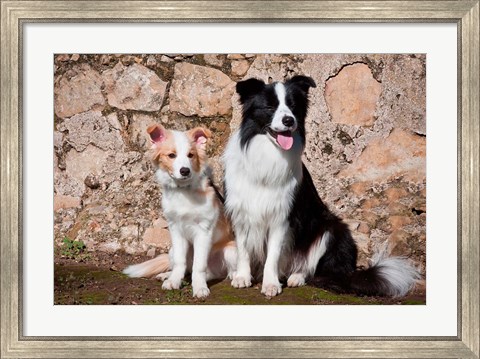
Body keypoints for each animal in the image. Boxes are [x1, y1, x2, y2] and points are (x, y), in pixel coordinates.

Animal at [124, 125, 236, 300]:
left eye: (191, 155)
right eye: (171, 155)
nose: (185, 171)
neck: (184, 192)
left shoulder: (203, 231)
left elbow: (199, 266)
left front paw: (200, 288)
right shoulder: (175, 229)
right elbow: (179, 262)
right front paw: (173, 281)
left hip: (231, 251)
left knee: (217, 271)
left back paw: (236, 277)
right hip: (171, 249)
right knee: (188, 269)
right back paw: (167, 275)